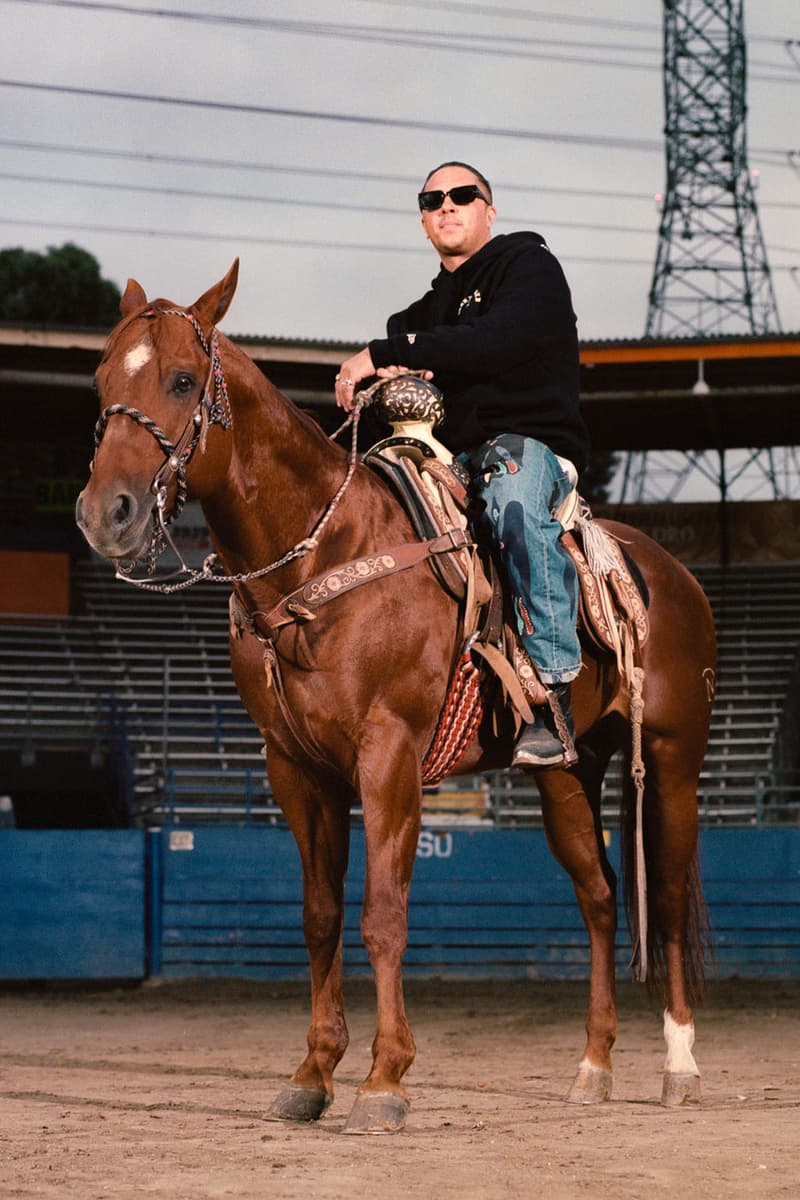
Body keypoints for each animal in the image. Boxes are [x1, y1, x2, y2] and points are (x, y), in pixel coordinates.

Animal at [74, 262, 714, 1132]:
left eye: (179, 379)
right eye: (103, 379)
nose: (105, 514)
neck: (322, 554)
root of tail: (671, 575)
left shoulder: (389, 757)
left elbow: (383, 913)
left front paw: (384, 1081)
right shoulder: (297, 771)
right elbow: (320, 918)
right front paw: (312, 1074)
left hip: (674, 764)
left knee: (668, 899)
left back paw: (680, 1065)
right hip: (566, 774)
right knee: (602, 898)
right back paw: (593, 1066)